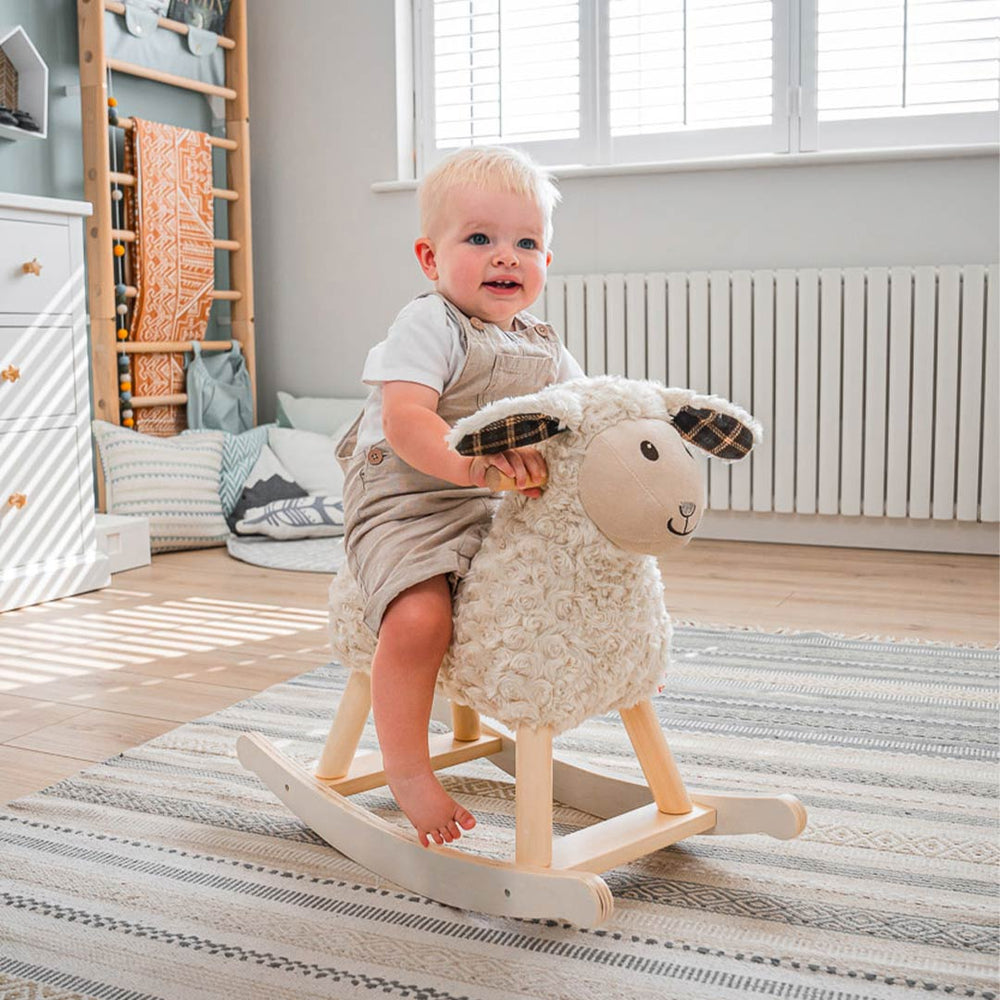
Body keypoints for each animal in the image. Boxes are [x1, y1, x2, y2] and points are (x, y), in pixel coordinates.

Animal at [328, 375, 760, 736]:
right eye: (649, 450)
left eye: (685, 451)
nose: (688, 509)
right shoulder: (533, 702)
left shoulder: (631, 691)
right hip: (373, 624)